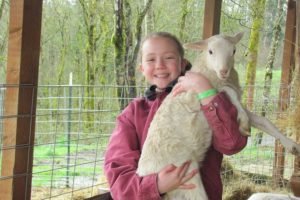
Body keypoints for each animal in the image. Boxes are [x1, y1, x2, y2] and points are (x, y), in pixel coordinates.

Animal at [136, 32, 300, 199]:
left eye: (233, 50)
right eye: (210, 51)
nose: (223, 71)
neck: (208, 72)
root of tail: (144, 171)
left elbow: (264, 121)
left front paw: (291, 145)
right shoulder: (197, 93)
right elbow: (229, 92)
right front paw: (244, 121)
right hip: (184, 173)